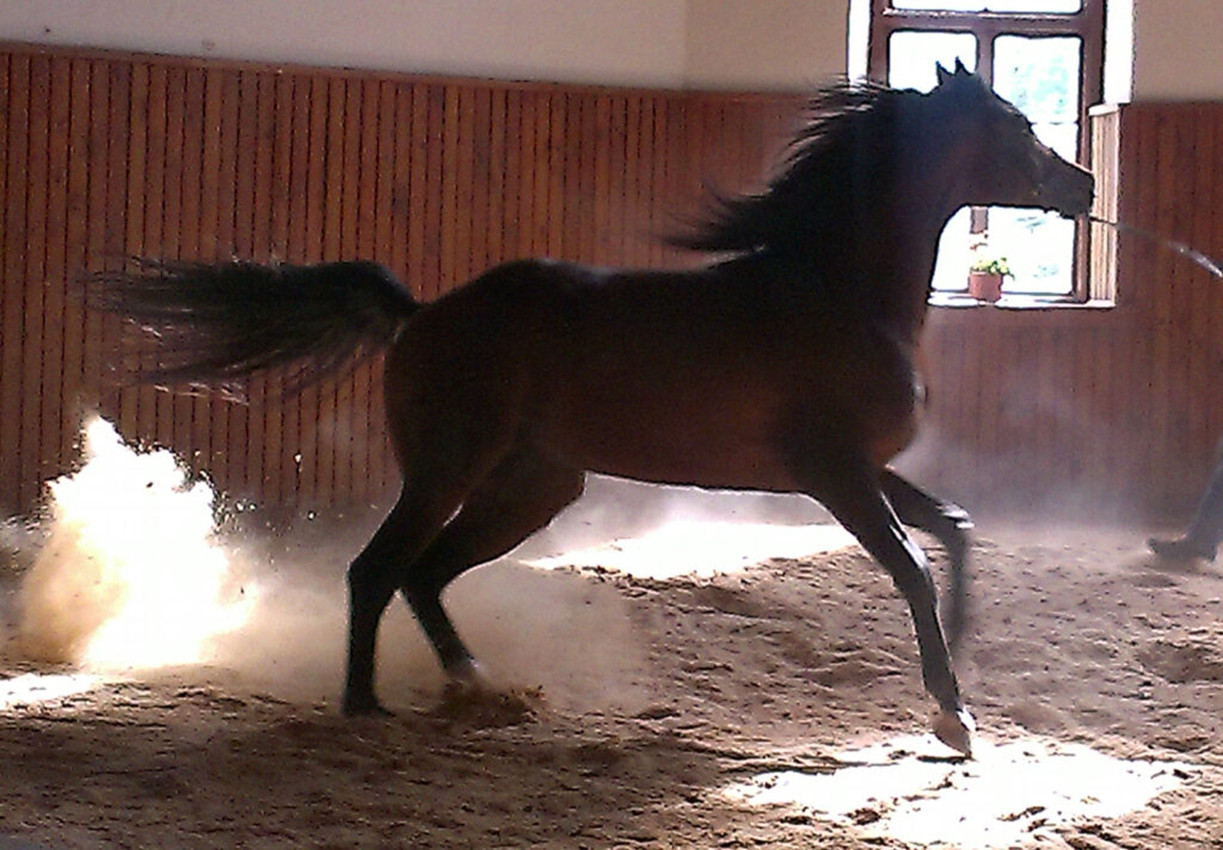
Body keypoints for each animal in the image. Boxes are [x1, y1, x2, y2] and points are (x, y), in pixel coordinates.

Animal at [90, 66, 1095, 758]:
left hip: (533, 486)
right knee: (377, 569)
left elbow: (954, 528)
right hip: (450, 469)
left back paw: (478, 690)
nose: (1083, 186)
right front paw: (950, 714)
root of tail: (423, 313)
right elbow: (912, 568)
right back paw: (367, 707)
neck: (835, 292)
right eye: (1013, 127)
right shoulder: (833, 474)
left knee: (424, 574)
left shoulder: (862, 469)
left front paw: (960, 670)